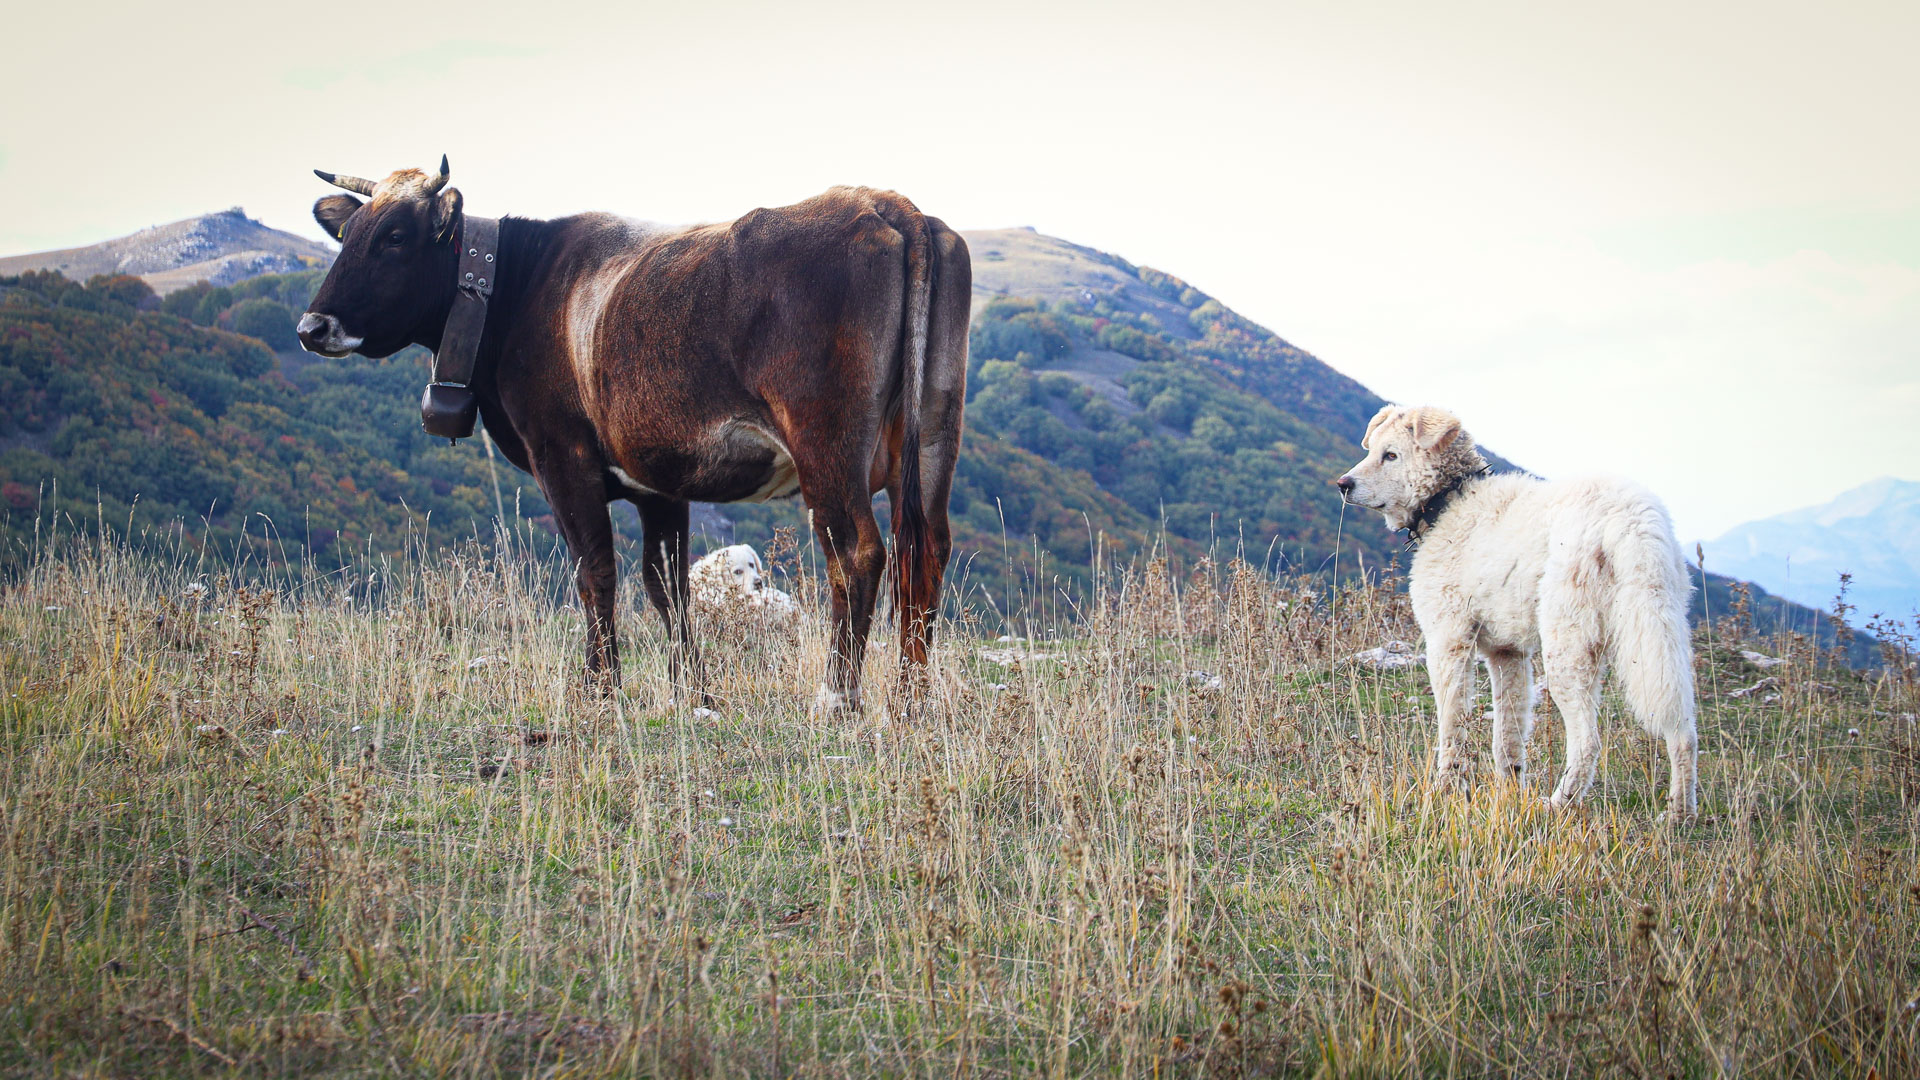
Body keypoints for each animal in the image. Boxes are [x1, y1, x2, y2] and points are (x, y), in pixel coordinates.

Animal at [299, 159, 975, 711]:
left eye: (394, 237)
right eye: (348, 236)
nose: (313, 326)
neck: (520, 285)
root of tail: (884, 203)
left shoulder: (562, 455)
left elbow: (595, 569)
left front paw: (600, 688)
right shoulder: (661, 481)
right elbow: (666, 585)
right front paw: (693, 692)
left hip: (826, 445)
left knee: (857, 552)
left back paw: (838, 699)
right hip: (935, 431)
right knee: (925, 550)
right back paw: (913, 702)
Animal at [1336, 403, 1697, 814]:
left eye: (1391, 455)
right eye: (1373, 450)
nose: (1343, 484)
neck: (1451, 502)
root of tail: (1631, 519)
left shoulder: (1448, 642)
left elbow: (1451, 727)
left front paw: (1445, 791)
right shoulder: (1507, 653)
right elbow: (1507, 736)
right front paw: (1508, 792)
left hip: (1568, 650)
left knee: (1588, 742)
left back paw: (1558, 805)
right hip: (1661, 637)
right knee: (1682, 730)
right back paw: (1680, 813)